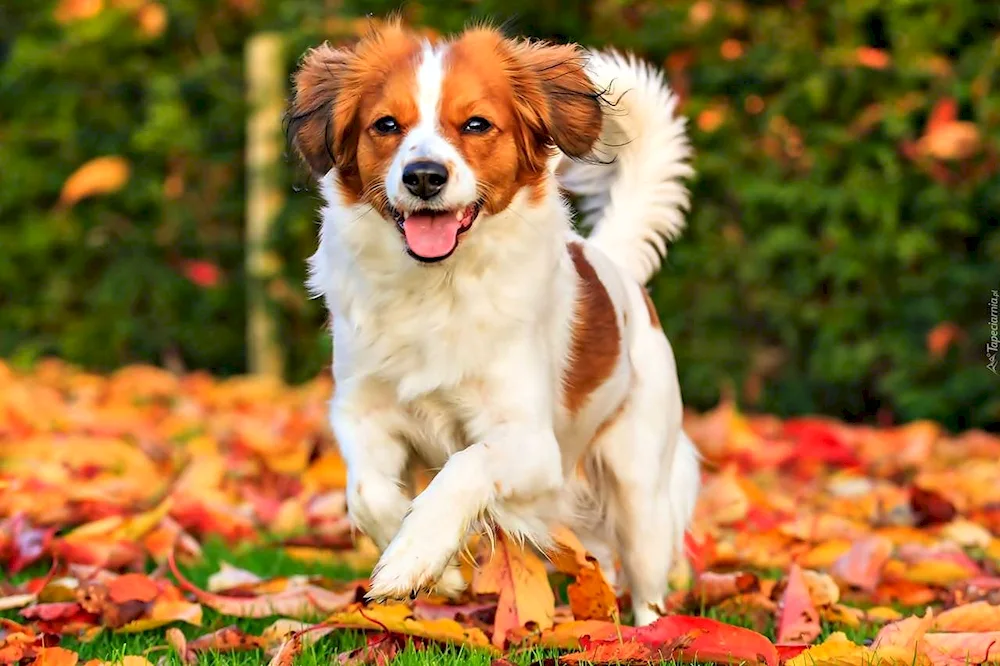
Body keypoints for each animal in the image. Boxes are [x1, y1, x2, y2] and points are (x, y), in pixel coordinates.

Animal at [286, 20, 700, 624]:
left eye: (476, 124)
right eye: (386, 125)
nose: (424, 177)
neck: (436, 288)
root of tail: (614, 262)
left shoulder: (532, 445)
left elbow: (467, 464)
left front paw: (415, 555)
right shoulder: (362, 412)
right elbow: (367, 494)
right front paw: (441, 573)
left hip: (638, 485)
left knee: (648, 583)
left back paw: (652, 631)